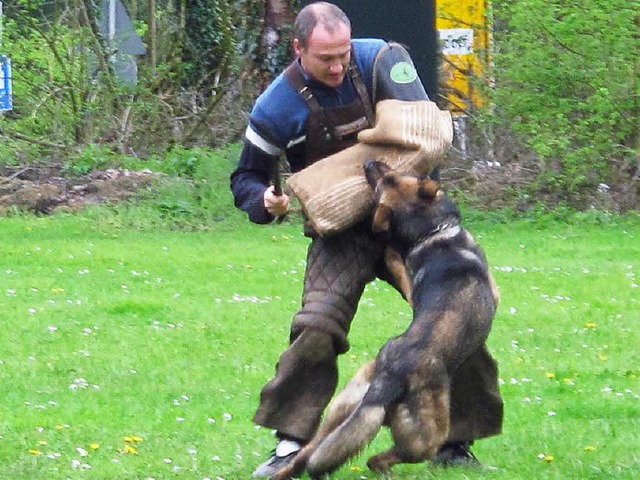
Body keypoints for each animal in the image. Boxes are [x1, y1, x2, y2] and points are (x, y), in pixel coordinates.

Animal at [272, 162, 498, 480]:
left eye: (390, 177)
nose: (368, 163)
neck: (433, 234)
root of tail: (388, 379)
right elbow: (399, 265)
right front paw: (390, 252)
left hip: (343, 408)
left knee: (311, 451)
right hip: (426, 436)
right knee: (380, 458)